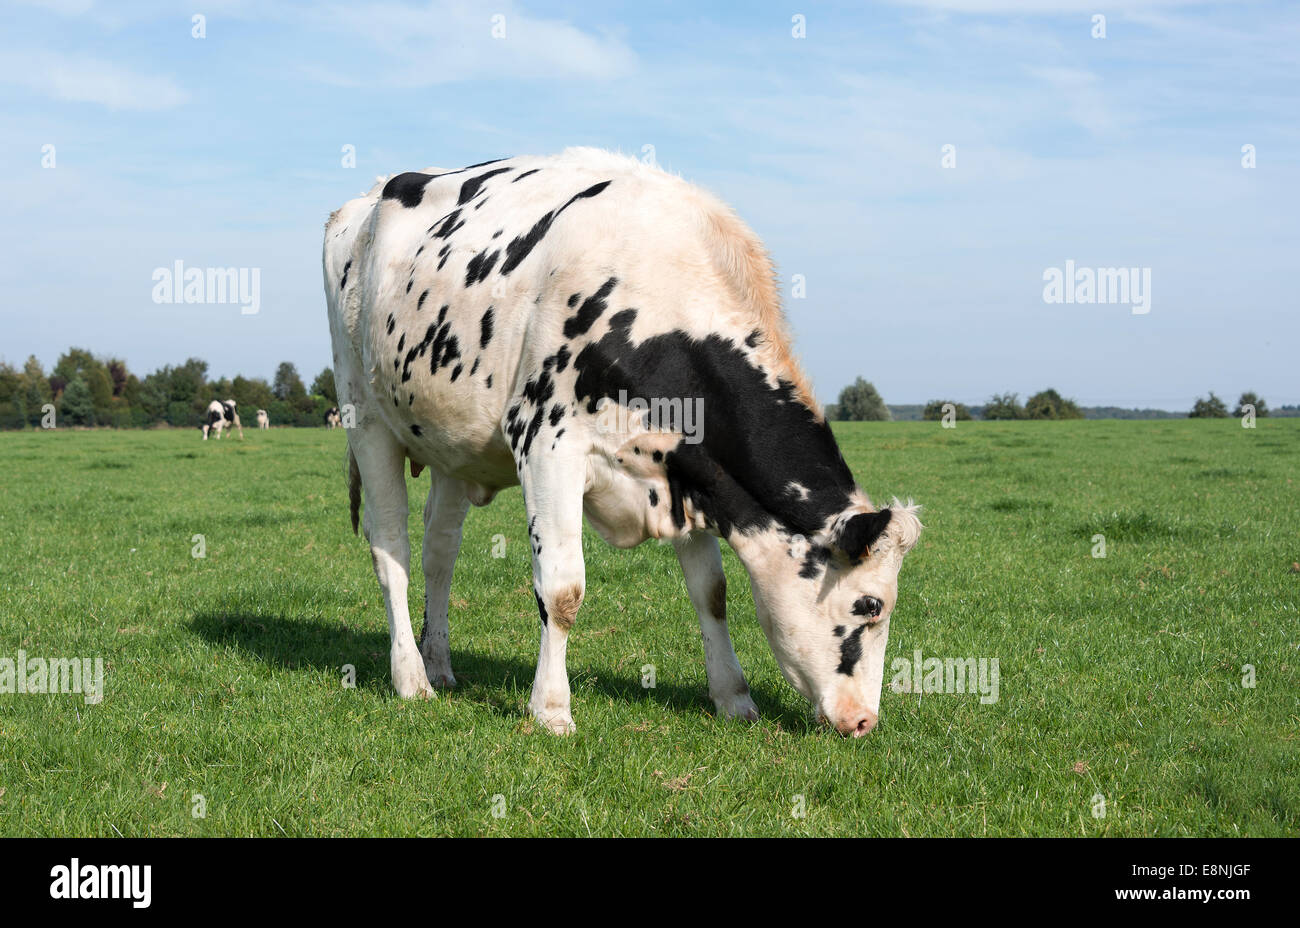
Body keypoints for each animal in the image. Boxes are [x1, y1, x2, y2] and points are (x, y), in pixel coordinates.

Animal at [321, 150, 920, 738]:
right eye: (870, 604)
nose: (864, 720)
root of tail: (370, 195)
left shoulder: (689, 469)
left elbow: (712, 592)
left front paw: (733, 697)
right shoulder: (546, 443)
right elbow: (562, 591)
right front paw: (551, 710)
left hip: (452, 445)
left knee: (439, 553)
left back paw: (440, 664)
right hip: (365, 415)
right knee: (391, 548)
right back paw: (411, 678)